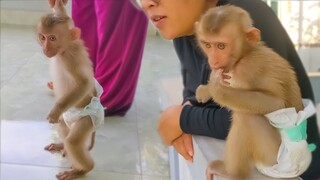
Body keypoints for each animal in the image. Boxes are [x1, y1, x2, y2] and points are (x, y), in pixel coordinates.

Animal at [37, 0, 104, 179]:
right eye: (43, 37)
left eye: (52, 38)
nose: (45, 47)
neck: (64, 49)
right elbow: (64, 15)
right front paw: (58, 6)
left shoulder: (70, 59)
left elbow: (84, 83)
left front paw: (54, 110)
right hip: (67, 116)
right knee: (63, 125)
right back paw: (62, 145)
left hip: (88, 119)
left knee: (73, 141)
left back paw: (82, 169)